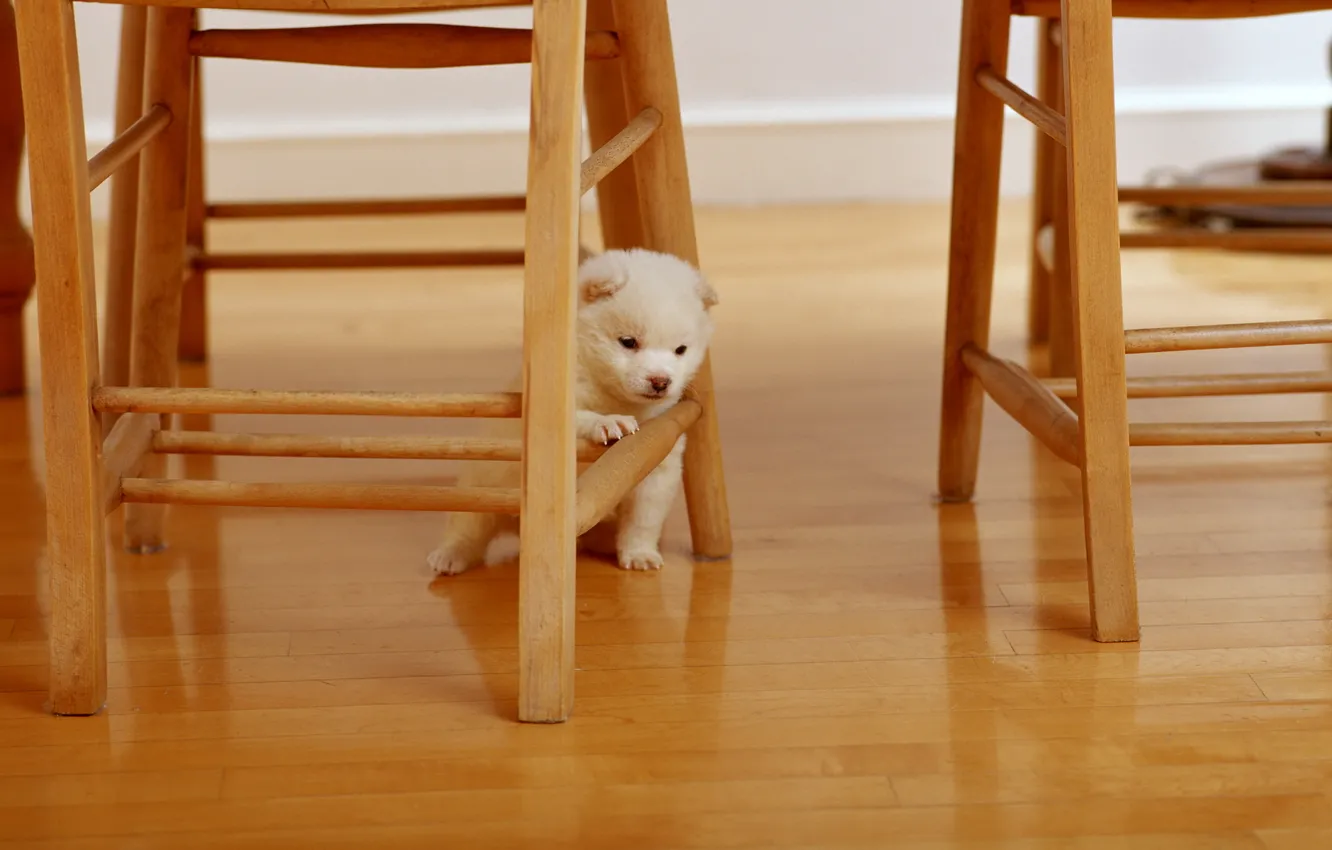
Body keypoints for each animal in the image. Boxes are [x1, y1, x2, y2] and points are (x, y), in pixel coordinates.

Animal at [426, 250, 719, 575]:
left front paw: (639, 553)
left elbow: (643, 521)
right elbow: (581, 417)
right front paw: (608, 422)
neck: (613, 394)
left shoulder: (658, 467)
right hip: (482, 488)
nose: (660, 381)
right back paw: (450, 555)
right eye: (628, 342)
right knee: (467, 527)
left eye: (681, 350)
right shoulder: (555, 406)